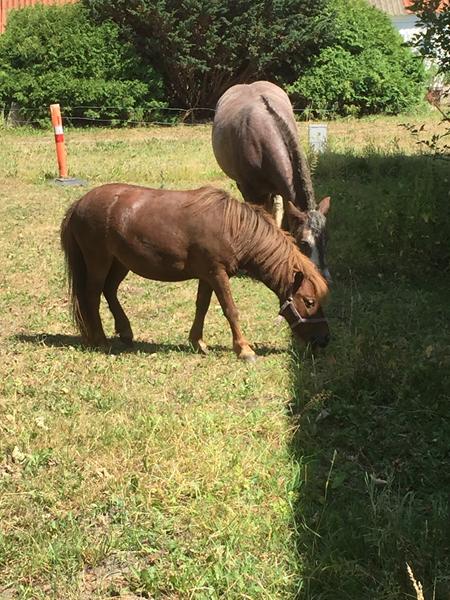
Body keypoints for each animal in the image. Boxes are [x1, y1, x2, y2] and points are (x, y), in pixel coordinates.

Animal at [59, 184, 328, 360]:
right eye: (309, 301)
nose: (323, 340)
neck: (234, 228)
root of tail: (78, 204)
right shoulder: (217, 274)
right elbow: (230, 310)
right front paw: (244, 349)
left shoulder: (208, 276)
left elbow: (202, 307)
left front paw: (197, 342)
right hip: (99, 261)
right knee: (92, 295)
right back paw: (101, 340)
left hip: (120, 263)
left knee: (109, 291)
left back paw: (125, 332)